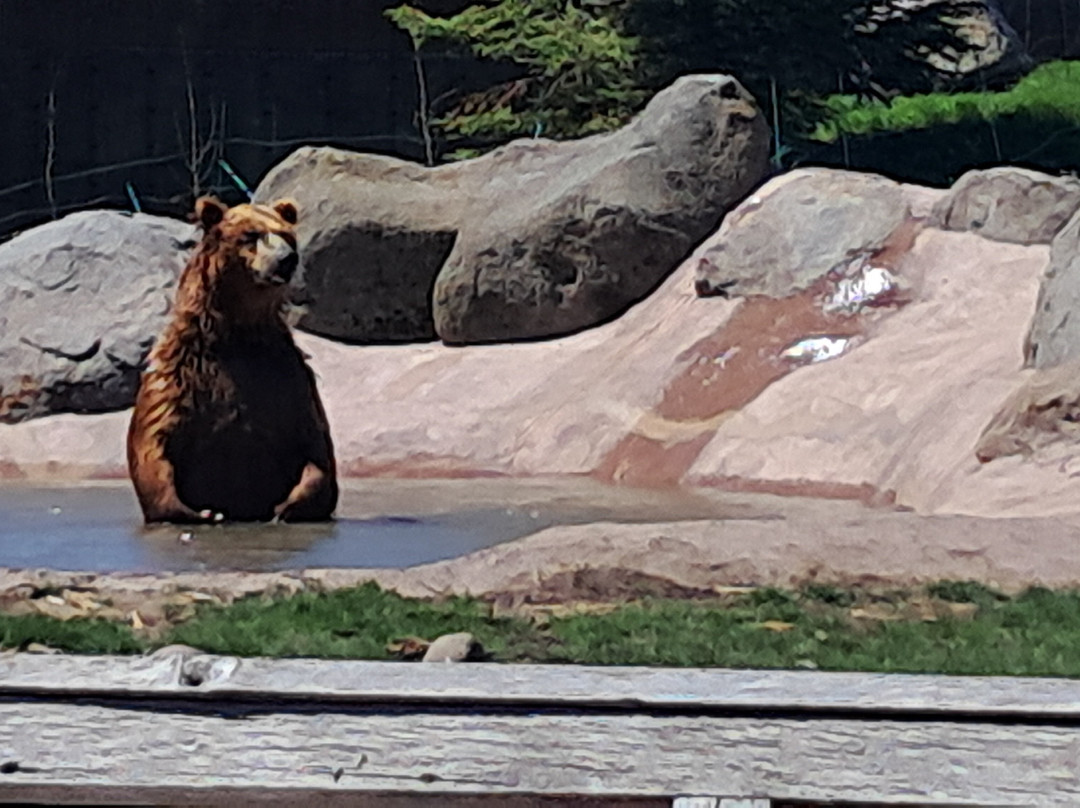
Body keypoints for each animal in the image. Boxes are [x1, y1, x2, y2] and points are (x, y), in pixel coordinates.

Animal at [127, 196, 338, 524]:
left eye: (286, 235)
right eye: (251, 234)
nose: (287, 258)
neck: (237, 332)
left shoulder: (287, 382)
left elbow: (315, 448)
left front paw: (286, 507)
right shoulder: (181, 376)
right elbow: (154, 441)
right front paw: (197, 511)